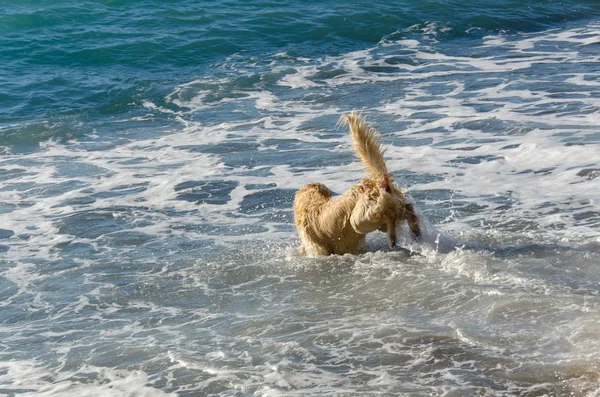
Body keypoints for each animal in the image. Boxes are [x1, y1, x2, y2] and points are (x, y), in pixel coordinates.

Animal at [292, 112, 420, 254]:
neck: (310, 203)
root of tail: (380, 183)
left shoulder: (317, 249)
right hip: (382, 216)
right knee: (407, 208)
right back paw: (413, 230)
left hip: (359, 220)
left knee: (392, 216)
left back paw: (393, 238)